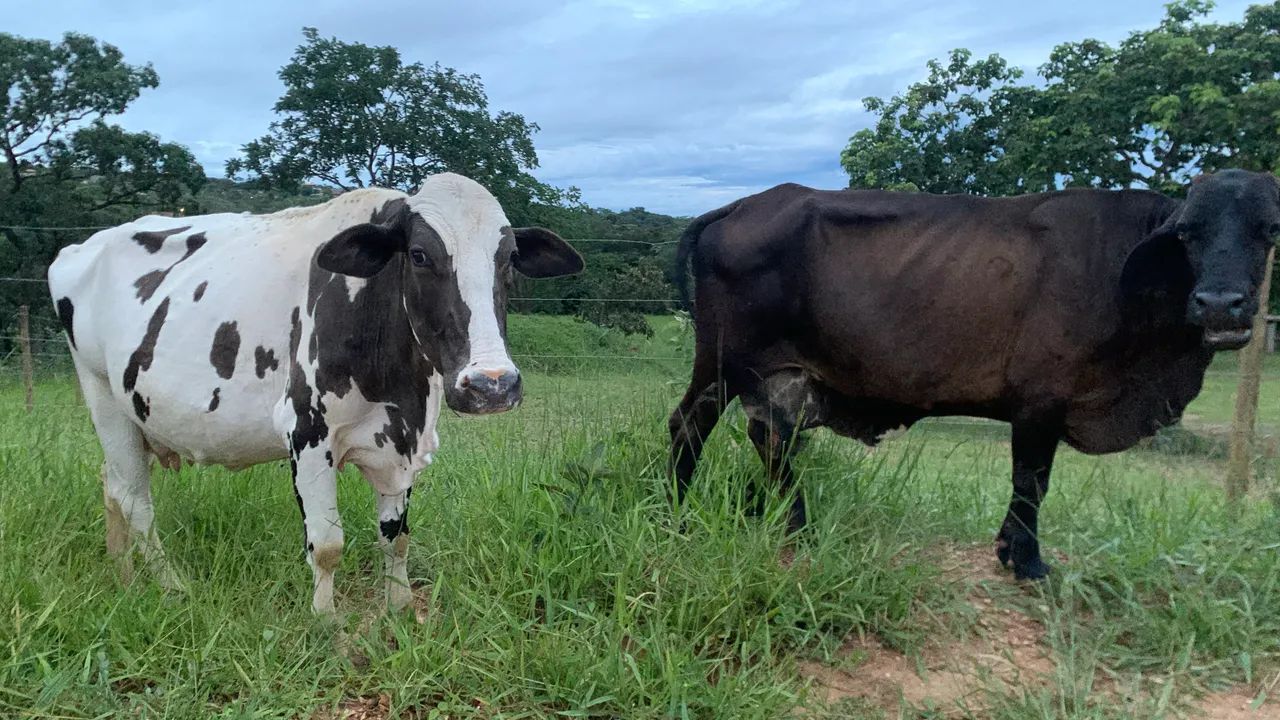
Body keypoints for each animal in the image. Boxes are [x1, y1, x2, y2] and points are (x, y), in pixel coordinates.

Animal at [48, 173, 583, 614]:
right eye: (419, 255)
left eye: (508, 259)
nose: (492, 384)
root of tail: (82, 246)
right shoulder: (307, 431)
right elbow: (327, 545)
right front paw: (327, 627)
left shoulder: (403, 441)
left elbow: (396, 539)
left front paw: (399, 611)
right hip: (103, 398)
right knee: (135, 500)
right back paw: (170, 585)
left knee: (112, 484)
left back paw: (124, 576)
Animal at [669, 169, 1280, 581]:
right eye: (1189, 233)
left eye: (1269, 229)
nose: (1220, 305)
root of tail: (742, 205)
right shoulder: (1041, 400)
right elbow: (1031, 481)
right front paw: (1028, 562)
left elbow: (1030, 484)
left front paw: (1012, 550)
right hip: (721, 365)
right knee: (688, 426)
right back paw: (677, 515)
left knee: (771, 439)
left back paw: (797, 525)